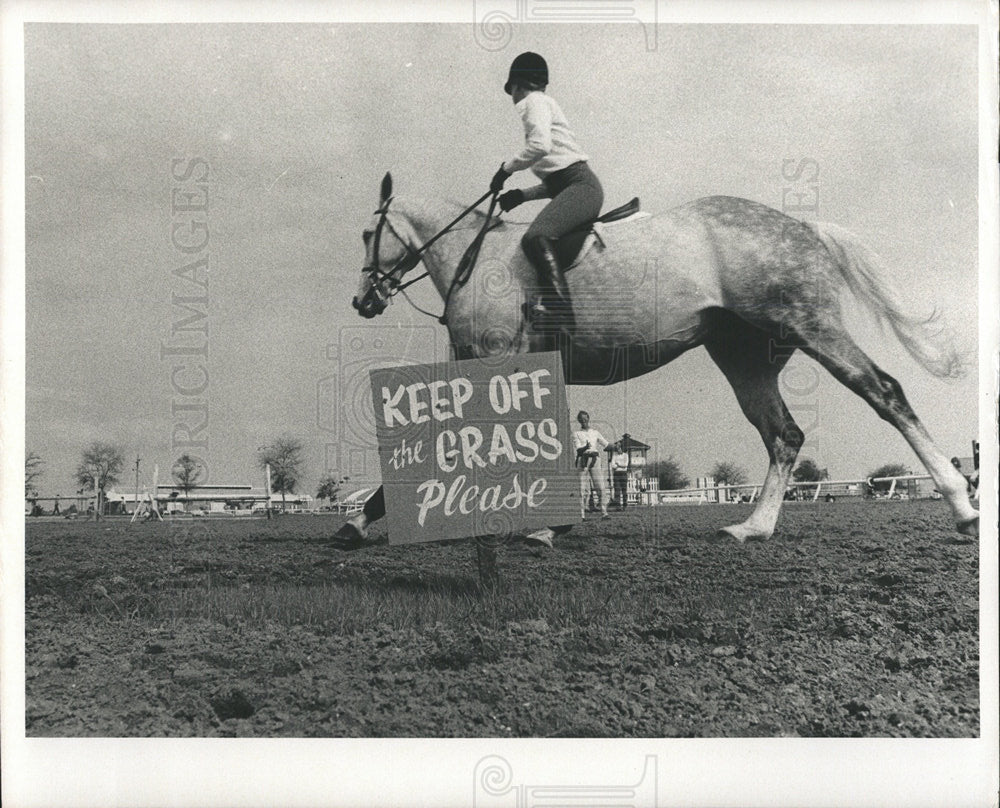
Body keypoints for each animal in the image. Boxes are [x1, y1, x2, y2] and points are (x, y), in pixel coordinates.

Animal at [340, 173, 980, 548]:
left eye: (369, 233)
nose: (363, 301)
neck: (472, 259)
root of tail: (802, 223)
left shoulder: (499, 361)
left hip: (810, 326)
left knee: (884, 392)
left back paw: (961, 504)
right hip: (744, 357)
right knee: (784, 435)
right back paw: (752, 526)